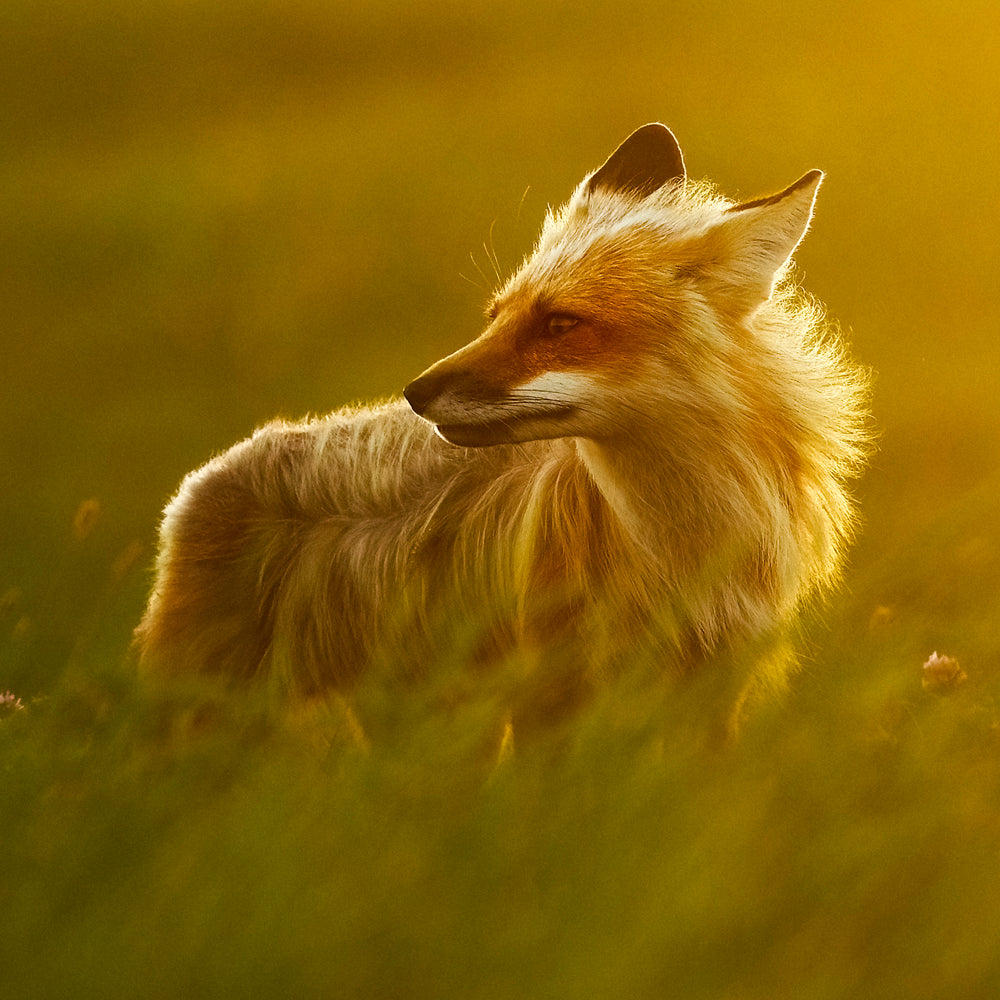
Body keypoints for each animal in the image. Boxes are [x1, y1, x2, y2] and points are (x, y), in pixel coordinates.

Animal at [135, 123, 870, 735]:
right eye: (496, 316)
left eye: (560, 324)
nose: (415, 394)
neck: (683, 549)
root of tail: (210, 470)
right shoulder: (550, 697)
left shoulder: (717, 691)